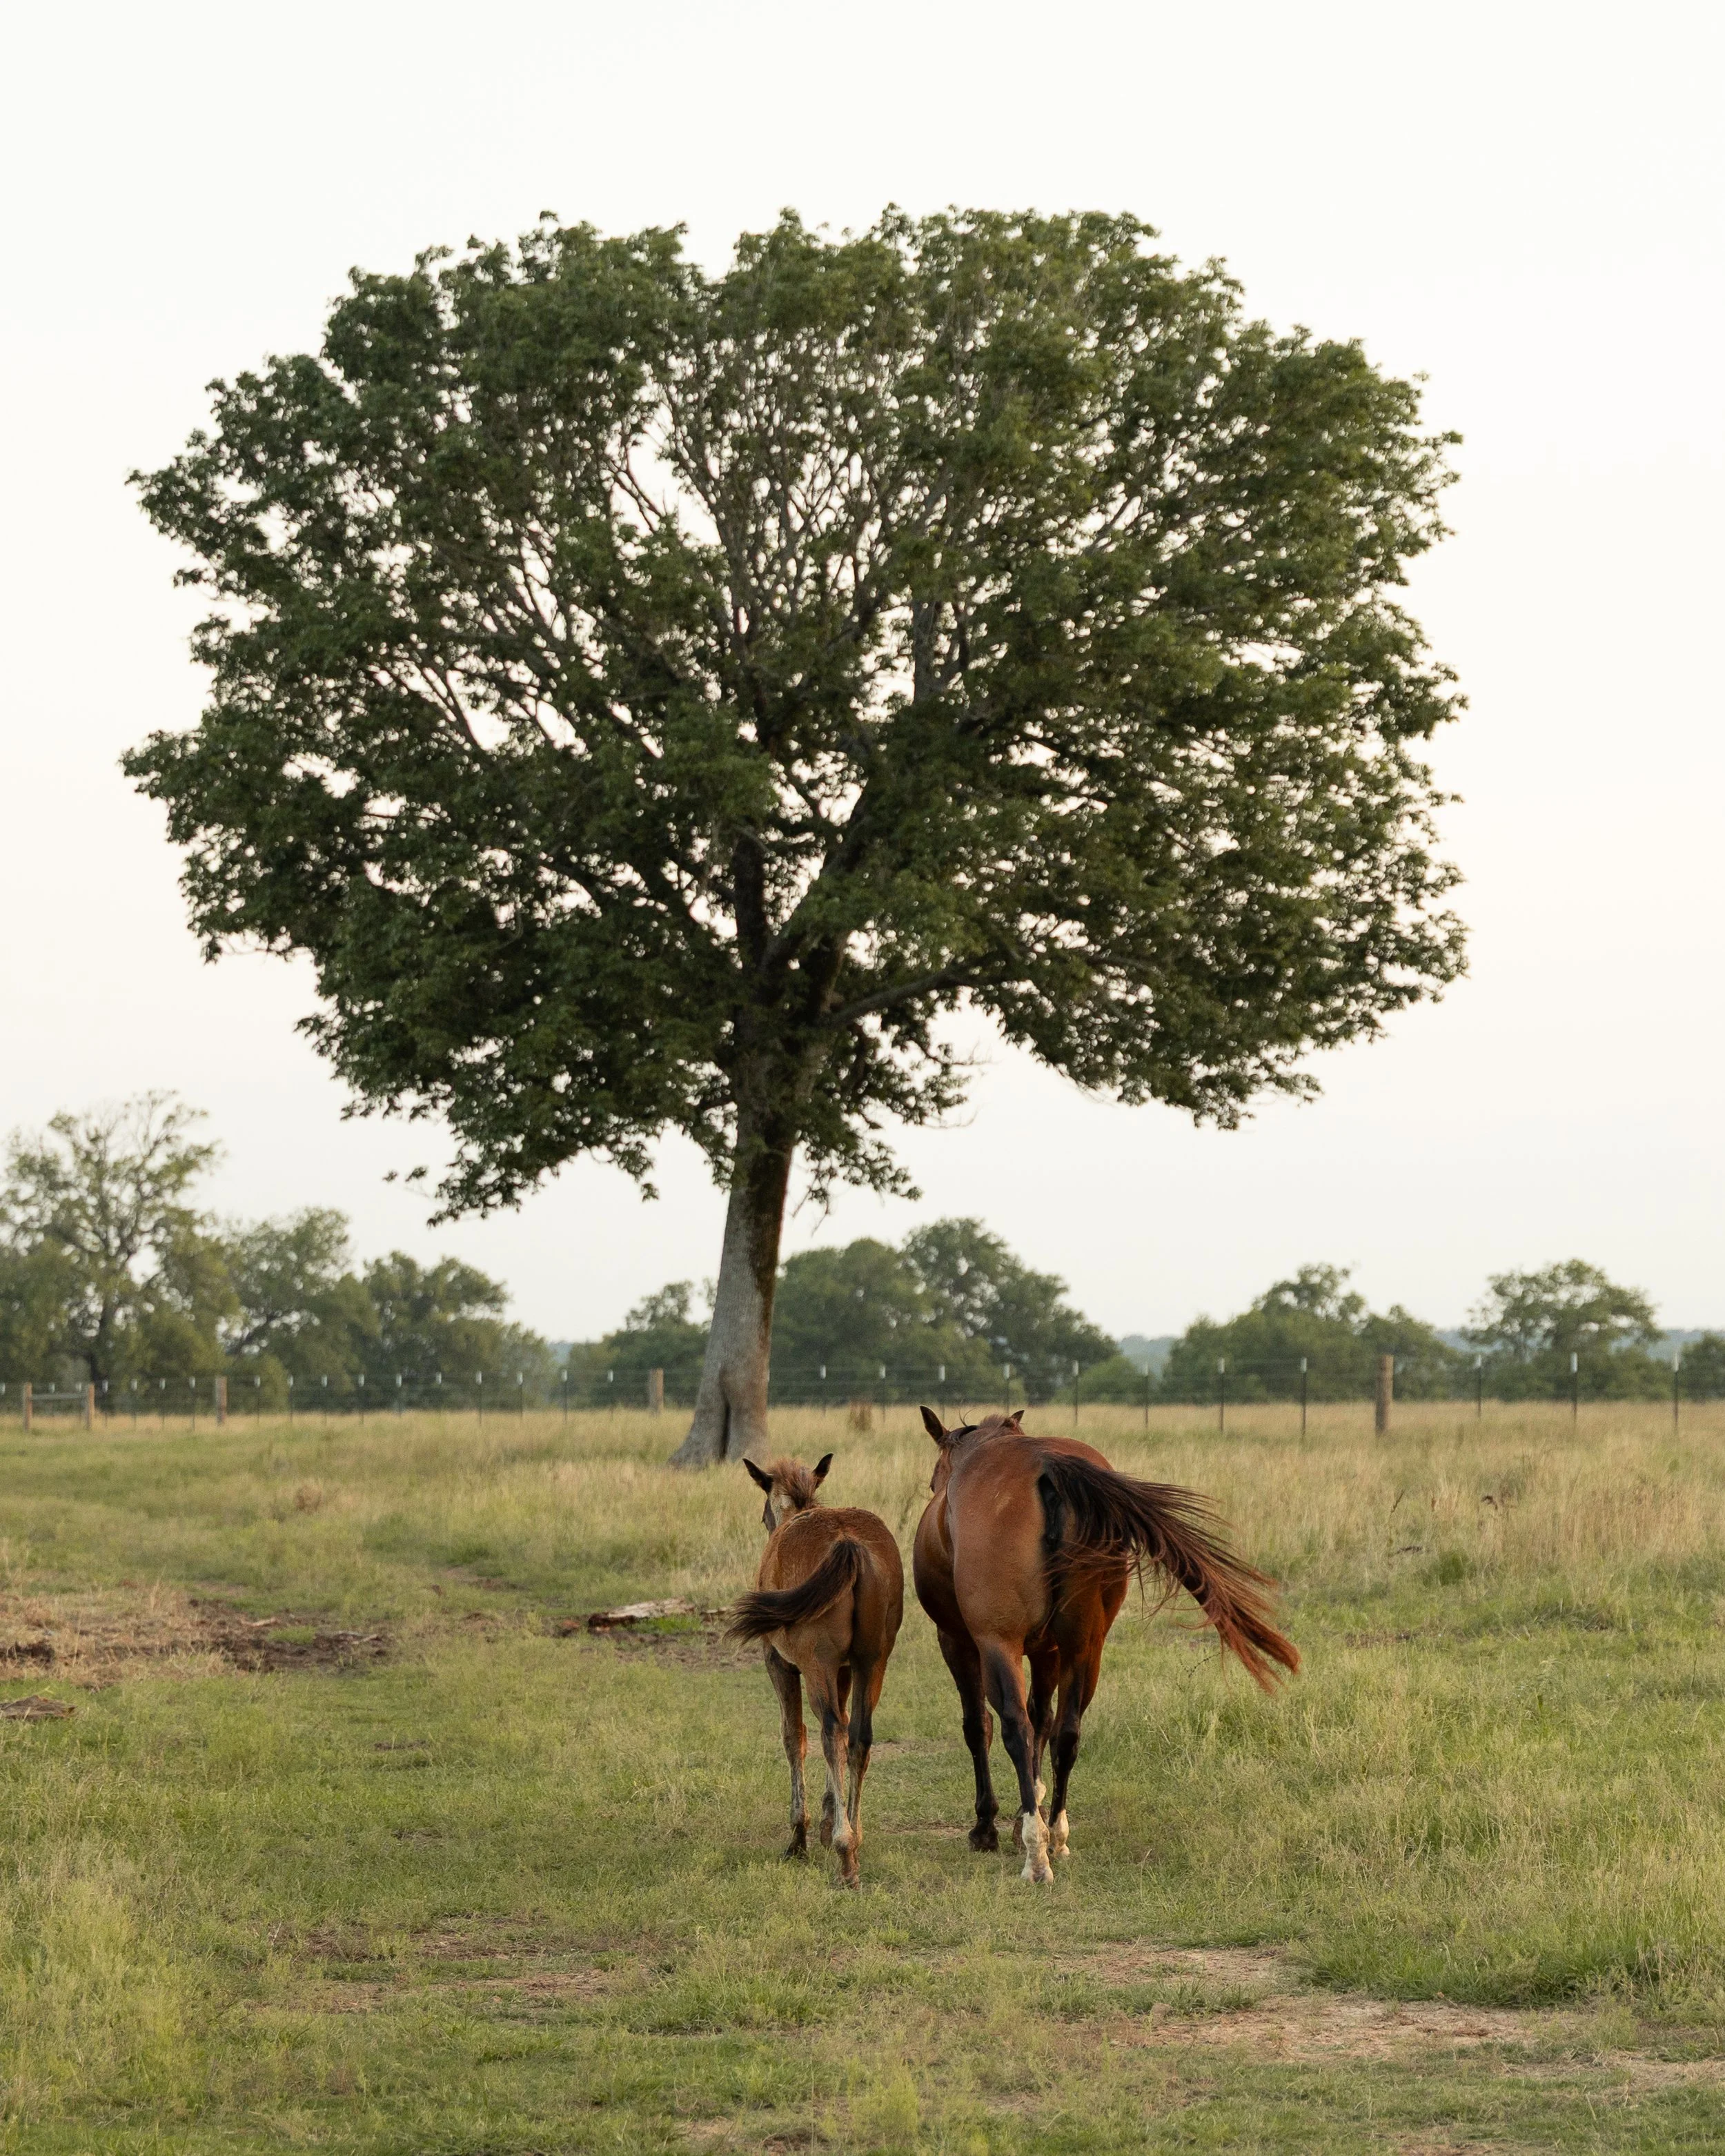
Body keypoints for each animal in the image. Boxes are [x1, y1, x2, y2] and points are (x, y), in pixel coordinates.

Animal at [728, 1453, 905, 1888]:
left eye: (763, 1513)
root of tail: (848, 1543)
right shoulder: (844, 1671)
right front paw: (827, 1820)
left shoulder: (782, 1665)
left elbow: (794, 1737)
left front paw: (801, 1836)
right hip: (872, 1662)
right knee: (857, 1736)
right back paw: (854, 1836)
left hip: (815, 1667)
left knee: (830, 1732)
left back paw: (844, 1852)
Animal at [912, 1407, 1298, 1883]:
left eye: (935, 1481)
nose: (935, 1490)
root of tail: (1045, 1466)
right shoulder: (1049, 1651)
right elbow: (1045, 1720)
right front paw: (1027, 1812)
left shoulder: (959, 1642)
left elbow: (979, 1726)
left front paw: (988, 1826)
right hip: (1085, 1646)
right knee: (1067, 1732)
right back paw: (1055, 1835)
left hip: (1000, 1644)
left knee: (1015, 1728)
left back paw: (1036, 1856)